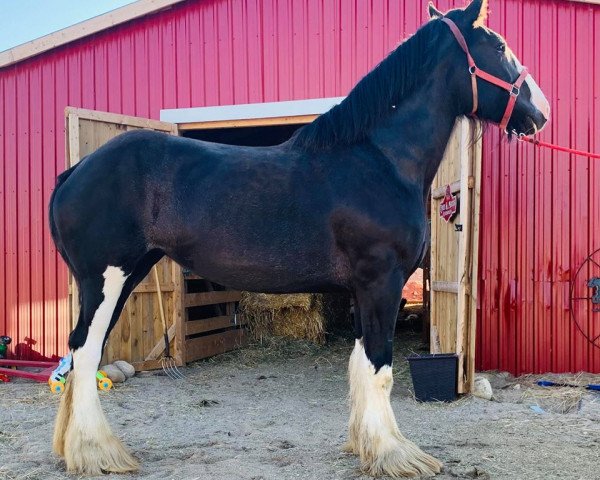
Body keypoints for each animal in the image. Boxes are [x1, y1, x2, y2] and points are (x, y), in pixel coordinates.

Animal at [51, 0, 548, 476]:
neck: (379, 160)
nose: (541, 112)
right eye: (499, 47)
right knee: (86, 352)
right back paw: (98, 453)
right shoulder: (381, 282)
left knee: (81, 351)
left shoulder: (362, 290)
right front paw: (395, 455)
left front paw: (367, 448)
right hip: (106, 279)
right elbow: (380, 369)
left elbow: (360, 365)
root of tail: (76, 171)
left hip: (128, 276)